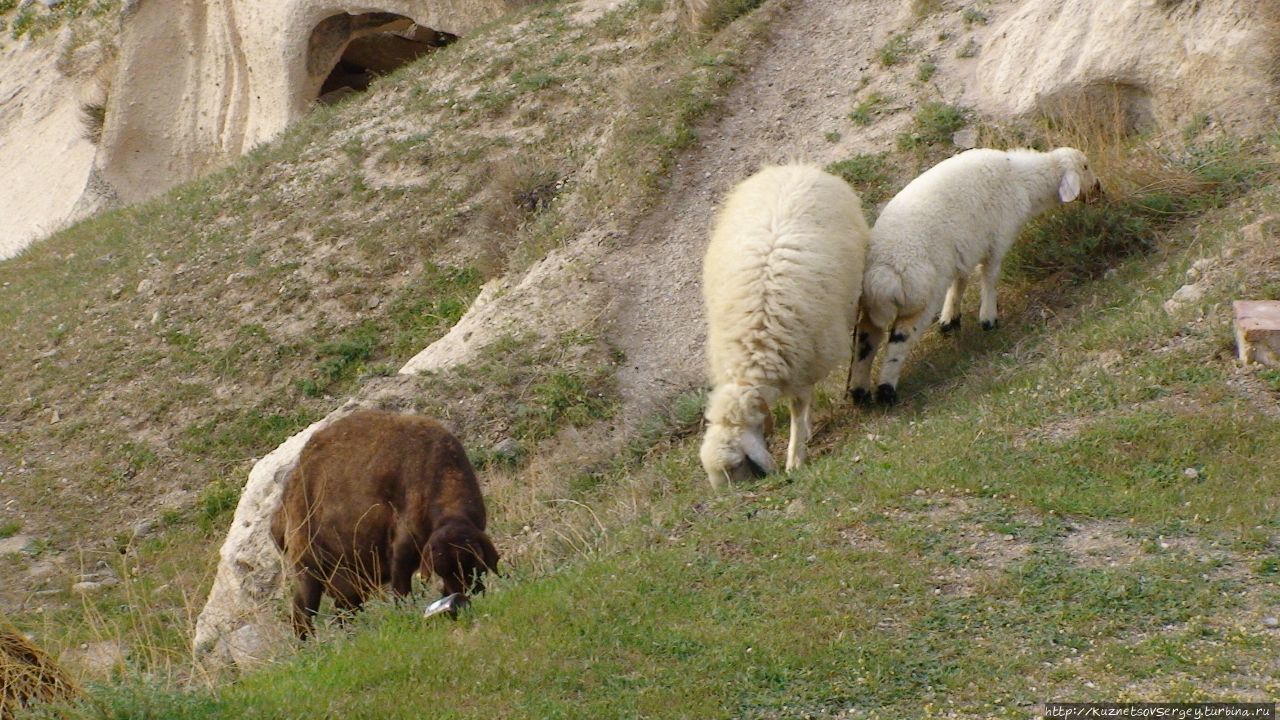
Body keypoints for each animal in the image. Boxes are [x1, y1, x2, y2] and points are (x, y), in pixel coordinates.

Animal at [271, 407, 499, 635]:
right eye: (441, 570)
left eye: (475, 565)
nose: (463, 597)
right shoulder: (401, 551)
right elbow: (401, 592)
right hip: (309, 566)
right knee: (302, 612)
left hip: (348, 578)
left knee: (343, 612)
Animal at [701, 163, 870, 486]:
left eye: (736, 464)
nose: (732, 495)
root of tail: (797, 167)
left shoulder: (804, 364)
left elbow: (797, 408)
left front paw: (795, 456)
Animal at [849, 146, 1100, 404]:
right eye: (1085, 167)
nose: (1099, 188)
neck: (1023, 179)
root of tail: (883, 272)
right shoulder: (998, 238)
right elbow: (990, 276)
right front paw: (988, 319)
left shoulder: (965, 247)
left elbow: (960, 281)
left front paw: (950, 319)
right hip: (921, 297)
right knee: (900, 339)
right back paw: (886, 390)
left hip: (872, 305)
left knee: (865, 338)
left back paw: (860, 392)